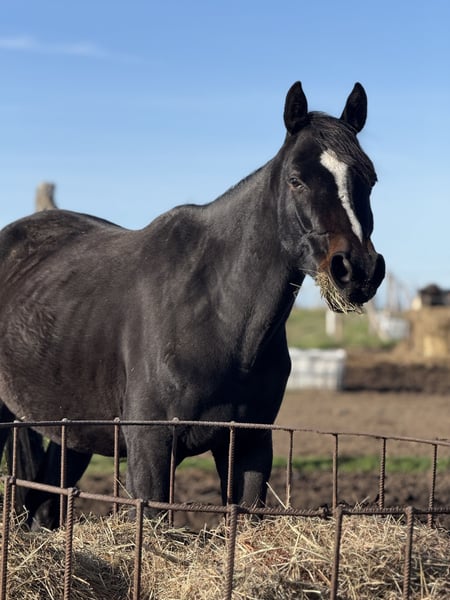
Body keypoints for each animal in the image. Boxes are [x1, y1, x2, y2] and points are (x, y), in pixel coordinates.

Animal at [0, 81, 385, 527]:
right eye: (296, 180)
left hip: (73, 435)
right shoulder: (150, 448)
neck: (218, 314)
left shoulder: (250, 445)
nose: (357, 270)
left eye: (370, 179)